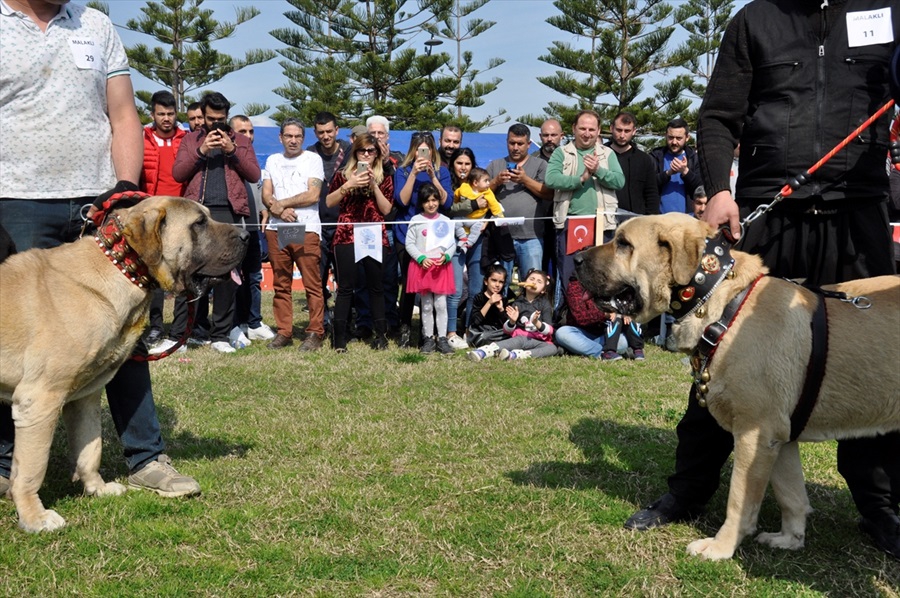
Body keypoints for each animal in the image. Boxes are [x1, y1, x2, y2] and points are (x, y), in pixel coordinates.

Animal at [0, 198, 246, 536]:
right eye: (199, 223)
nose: (248, 235)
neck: (118, 269)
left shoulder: (84, 397)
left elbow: (90, 449)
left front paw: (98, 489)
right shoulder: (39, 399)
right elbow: (31, 468)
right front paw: (34, 516)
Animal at [576, 213, 900, 560]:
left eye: (624, 244)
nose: (576, 259)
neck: (721, 301)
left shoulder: (755, 433)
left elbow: (740, 499)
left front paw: (720, 546)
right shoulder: (779, 438)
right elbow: (791, 495)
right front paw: (790, 539)